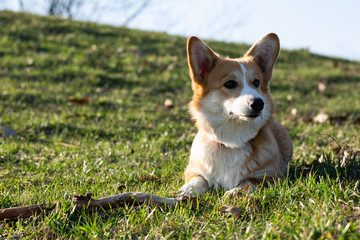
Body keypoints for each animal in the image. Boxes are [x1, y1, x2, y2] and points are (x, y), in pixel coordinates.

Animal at [178, 32, 292, 196]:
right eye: (230, 84)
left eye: (256, 82)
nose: (258, 103)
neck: (231, 142)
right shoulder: (193, 170)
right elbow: (198, 179)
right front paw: (188, 189)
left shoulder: (269, 177)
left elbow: (249, 182)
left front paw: (234, 192)